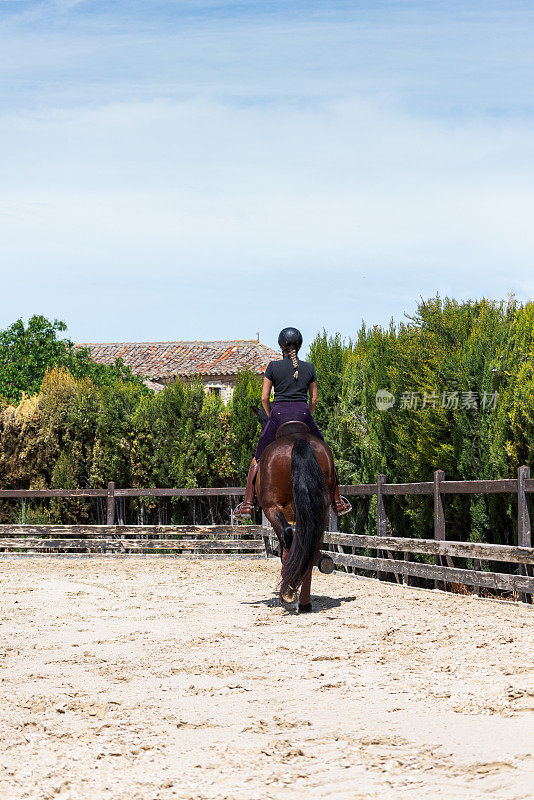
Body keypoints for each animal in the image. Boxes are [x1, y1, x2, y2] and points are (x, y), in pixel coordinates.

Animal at [250, 406, 336, 612]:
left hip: (272, 508)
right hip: (319, 509)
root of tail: (297, 440)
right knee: (310, 543)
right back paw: (303, 601)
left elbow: (286, 545)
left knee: (289, 536)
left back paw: (288, 593)